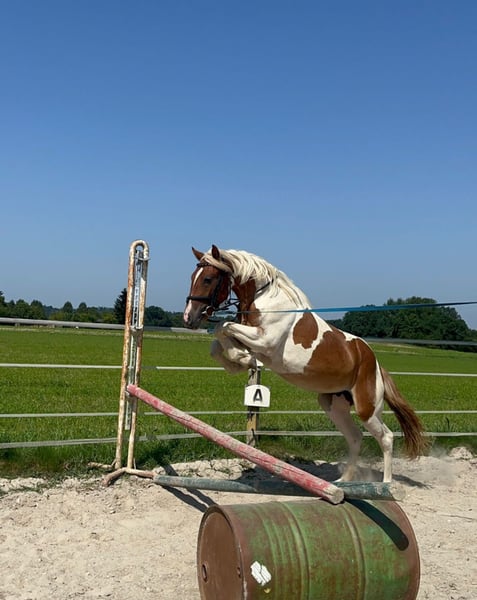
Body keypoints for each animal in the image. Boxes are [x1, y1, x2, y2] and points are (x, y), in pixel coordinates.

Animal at [183, 244, 428, 482]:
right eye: (193, 276)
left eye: (208, 279)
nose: (188, 318)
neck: (264, 300)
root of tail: (375, 363)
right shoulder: (252, 340)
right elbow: (217, 343)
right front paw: (240, 361)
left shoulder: (264, 340)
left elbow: (221, 326)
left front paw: (241, 358)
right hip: (333, 405)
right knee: (355, 437)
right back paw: (343, 481)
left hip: (367, 409)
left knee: (386, 437)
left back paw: (385, 485)